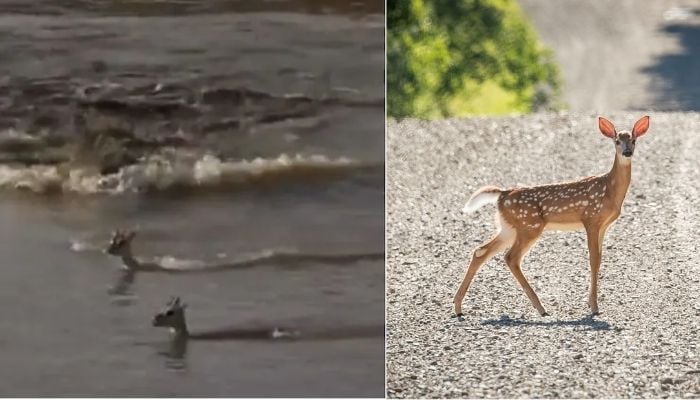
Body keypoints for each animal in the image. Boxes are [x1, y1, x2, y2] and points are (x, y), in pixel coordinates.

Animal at [454, 115, 652, 318]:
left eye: (634, 140)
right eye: (617, 141)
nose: (627, 152)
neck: (609, 191)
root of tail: (502, 194)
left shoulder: (604, 225)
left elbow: (599, 258)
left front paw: (591, 303)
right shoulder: (590, 219)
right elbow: (593, 259)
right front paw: (594, 307)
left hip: (508, 227)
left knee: (480, 251)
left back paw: (458, 307)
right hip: (529, 226)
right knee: (510, 257)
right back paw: (541, 308)